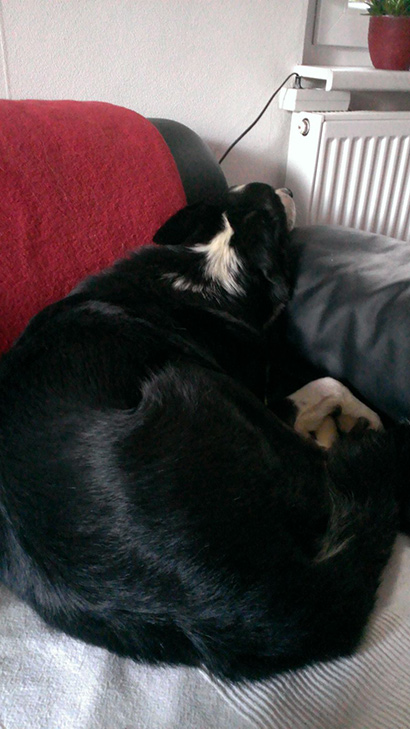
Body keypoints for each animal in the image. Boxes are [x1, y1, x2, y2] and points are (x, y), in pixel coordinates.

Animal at [0, 182, 409, 683]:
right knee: (322, 465)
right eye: (273, 204)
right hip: (197, 380)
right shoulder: (262, 395)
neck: (210, 266)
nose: (289, 187)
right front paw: (359, 414)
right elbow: (330, 385)